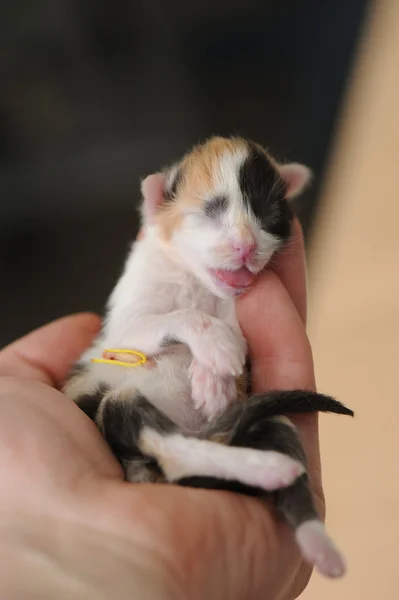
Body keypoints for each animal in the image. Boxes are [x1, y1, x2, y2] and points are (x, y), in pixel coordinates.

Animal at [64, 136, 354, 576]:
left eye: (269, 214)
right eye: (209, 211)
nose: (245, 246)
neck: (198, 285)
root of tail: (214, 434)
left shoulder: (241, 316)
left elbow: (237, 346)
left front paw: (213, 380)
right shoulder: (125, 320)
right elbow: (170, 320)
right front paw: (215, 350)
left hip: (270, 421)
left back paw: (318, 542)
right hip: (120, 404)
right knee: (170, 447)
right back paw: (269, 469)